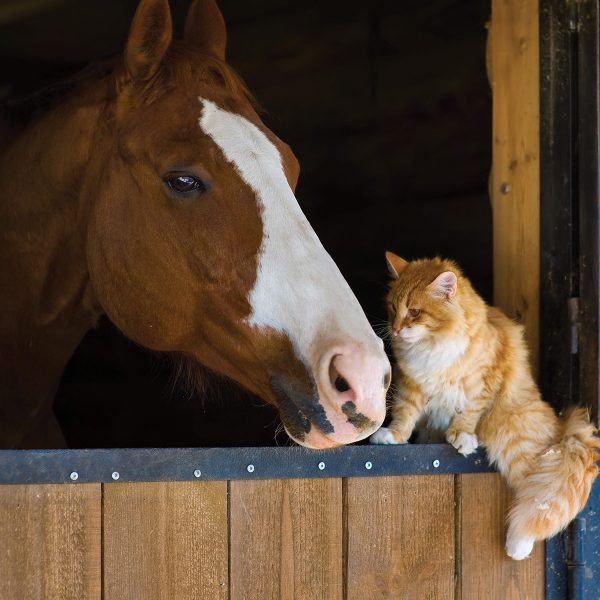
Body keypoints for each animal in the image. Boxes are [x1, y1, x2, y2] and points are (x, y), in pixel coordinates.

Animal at [370, 251, 600, 560]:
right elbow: (404, 415)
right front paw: (394, 436)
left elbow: (467, 413)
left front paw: (462, 437)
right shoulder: (412, 386)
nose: (394, 329)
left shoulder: (482, 381)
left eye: (415, 312)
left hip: (517, 439)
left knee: (539, 496)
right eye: (393, 308)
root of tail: (564, 427)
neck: (432, 346)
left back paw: (518, 545)